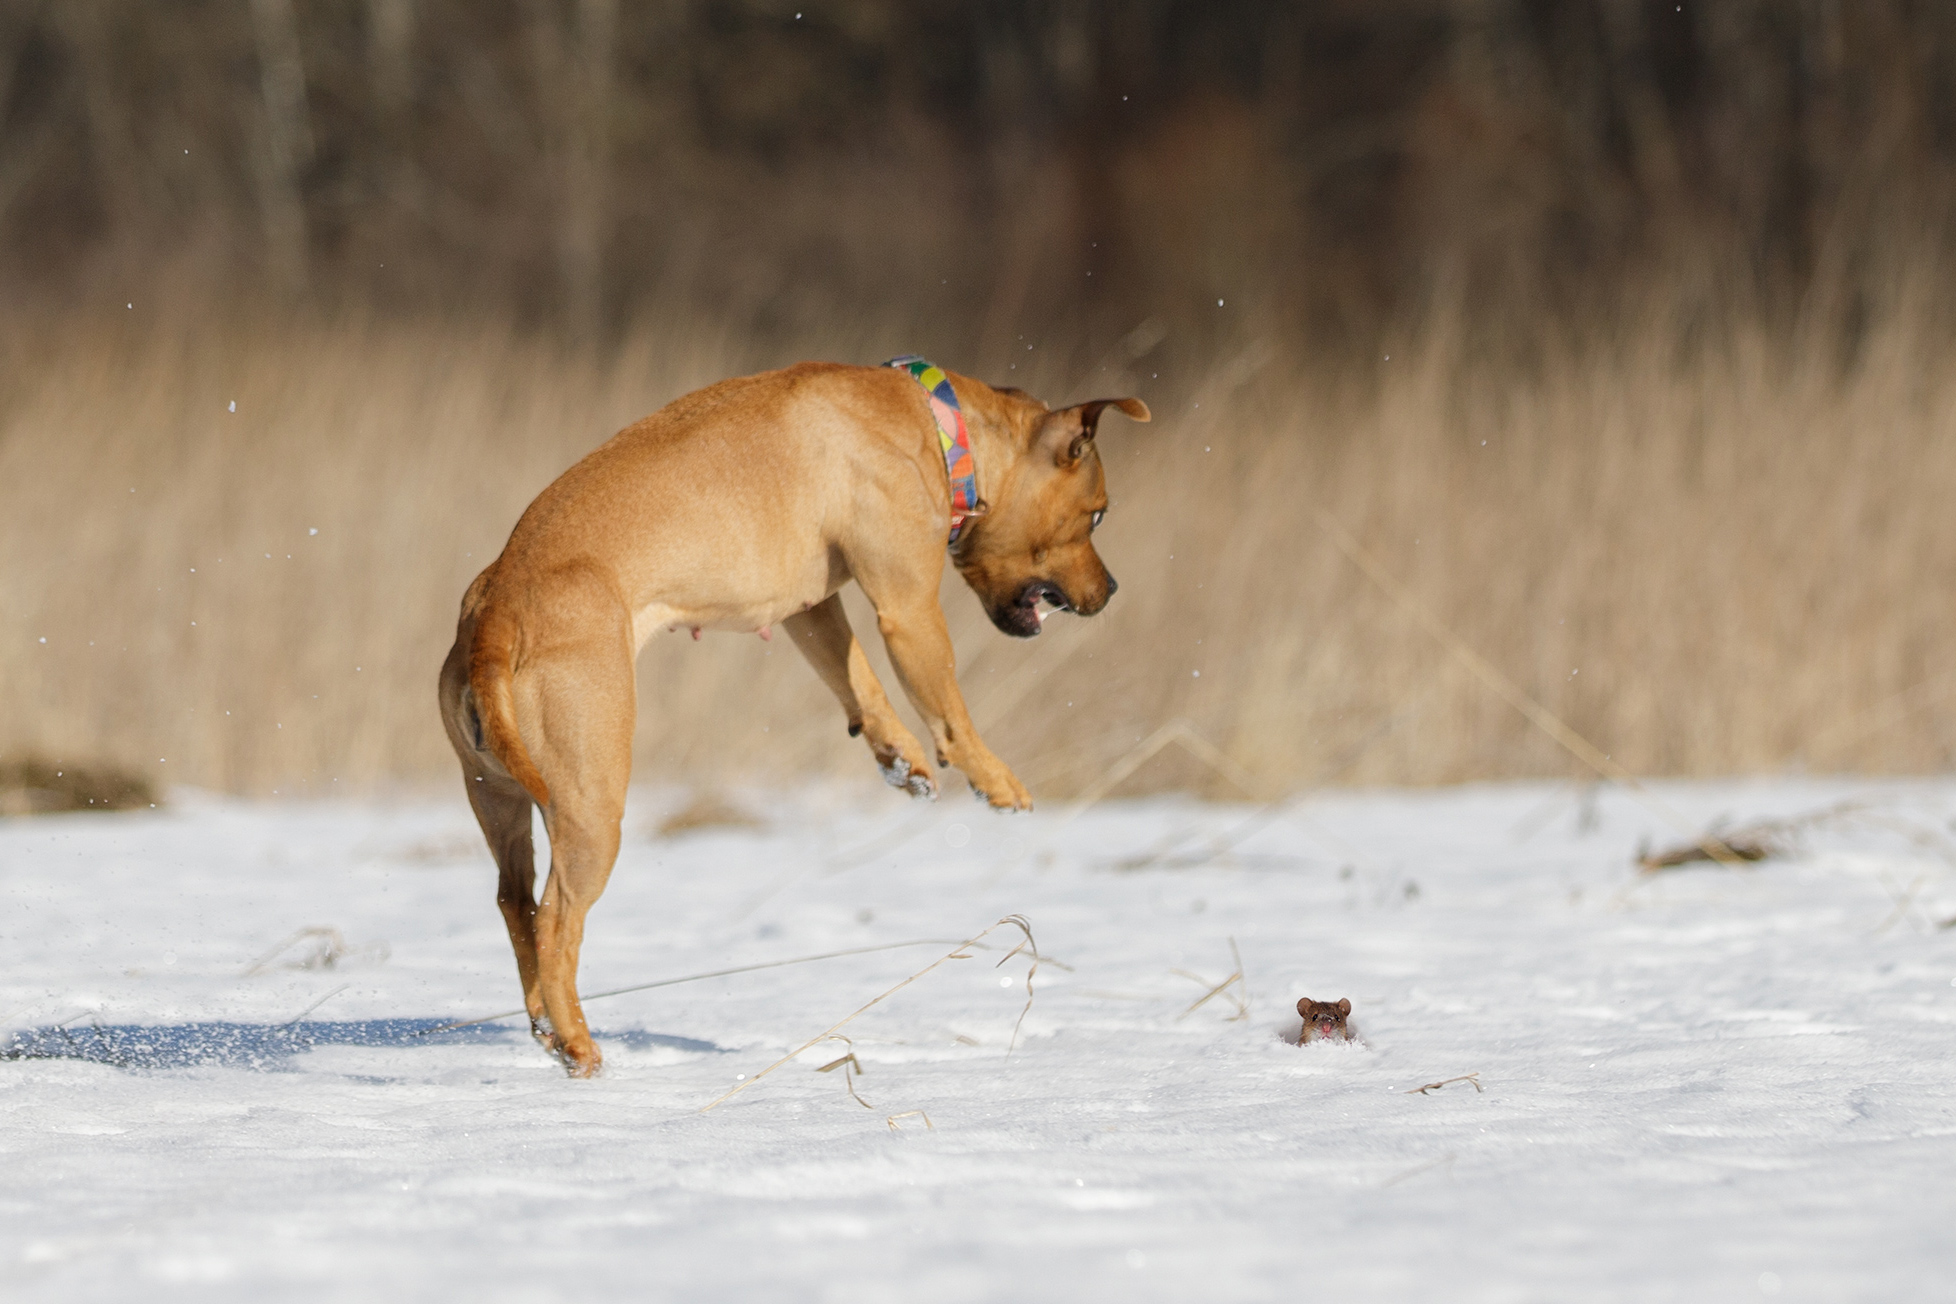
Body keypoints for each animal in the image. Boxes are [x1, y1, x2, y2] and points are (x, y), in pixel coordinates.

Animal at [440, 361, 1142, 1079]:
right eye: (1097, 513)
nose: (1113, 589)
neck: (941, 425)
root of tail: (495, 611)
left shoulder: (811, 607)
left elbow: (858, 679)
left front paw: (899, 755)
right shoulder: (908, 607)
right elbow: (947, 705)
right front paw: (993, 778)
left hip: (496, 797)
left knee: (516, 900)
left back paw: (546, 1027)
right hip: (591, 805)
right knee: (557, 919)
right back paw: (579, 1046)